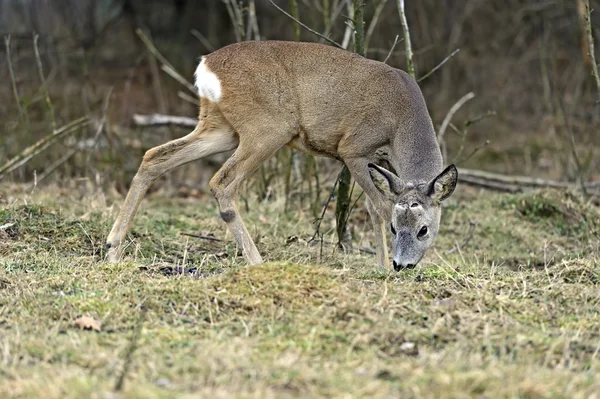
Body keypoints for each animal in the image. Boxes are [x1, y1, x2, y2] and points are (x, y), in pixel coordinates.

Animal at [105, 40, 458, 272]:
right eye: (397, 229)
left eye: (424, 229)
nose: (403, 265)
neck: (401, 122)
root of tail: (206, 67)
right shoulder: (354, 148)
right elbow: (379, 207)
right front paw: (382, 268)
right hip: (268, 127)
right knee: (221, 181)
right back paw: (257, 261)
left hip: (220, 127)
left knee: (154, 156)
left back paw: (112, 248)